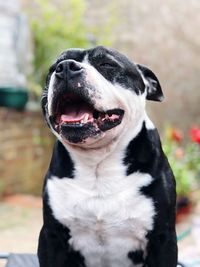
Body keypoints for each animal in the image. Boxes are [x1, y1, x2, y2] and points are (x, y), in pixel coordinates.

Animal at [38, 45, 177, 266]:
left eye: (107, 64)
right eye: (52, 69)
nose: (66, 67)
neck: (98, 163)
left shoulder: (162, 239)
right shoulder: (52, 238)